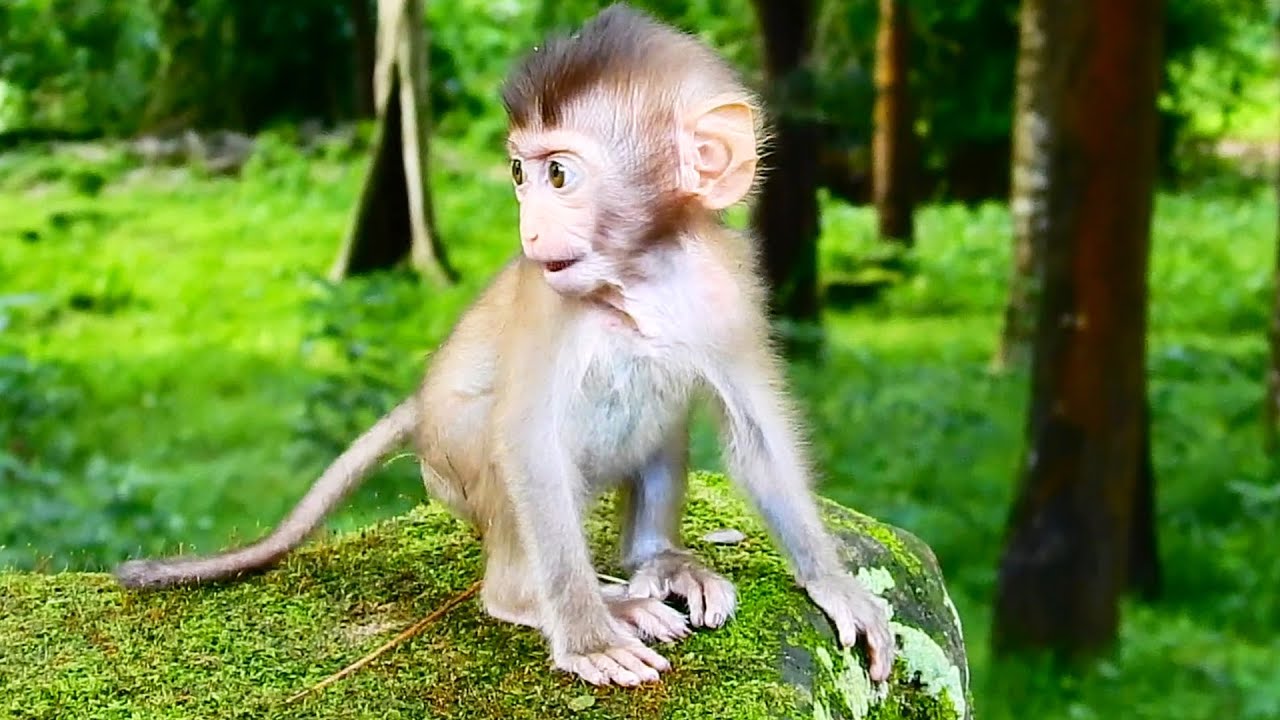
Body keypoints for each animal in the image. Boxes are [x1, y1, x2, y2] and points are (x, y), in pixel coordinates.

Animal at [114, 3, 896, 688]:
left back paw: (658, 563)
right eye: (521, 173)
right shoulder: (552, 307)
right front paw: (587, 638)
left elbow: (757, 433)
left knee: (664, 406)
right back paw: (558, 600)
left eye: (559, 175)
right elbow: (528, 443)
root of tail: (419, 408)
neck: (639, 277)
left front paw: (835, 585)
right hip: (451, 465)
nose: (530, 228)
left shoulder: (729, 290)